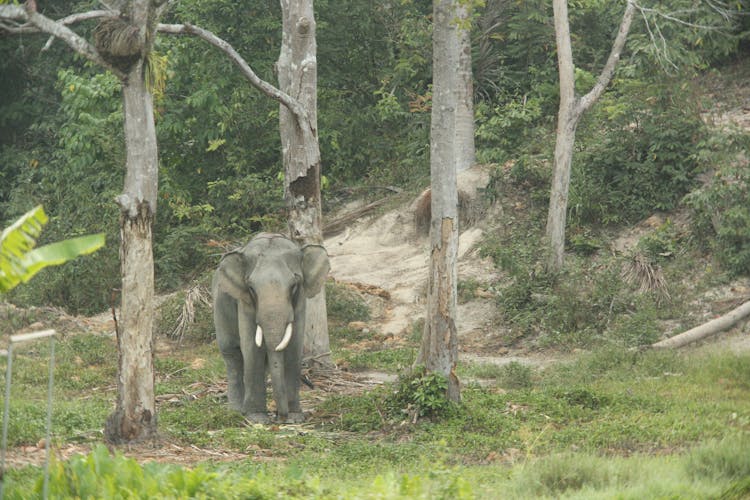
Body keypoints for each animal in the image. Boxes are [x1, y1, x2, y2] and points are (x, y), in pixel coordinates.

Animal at [212, 233, 328, 422]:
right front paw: (257, 418)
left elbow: (294, 347)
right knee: (232, 355)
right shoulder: (245, 302)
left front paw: (295, 418)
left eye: (294, 285)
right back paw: (237, 411)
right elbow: (252, 349)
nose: (280, 417)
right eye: (251, 288)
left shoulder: (300, 301)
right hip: (220, 307)